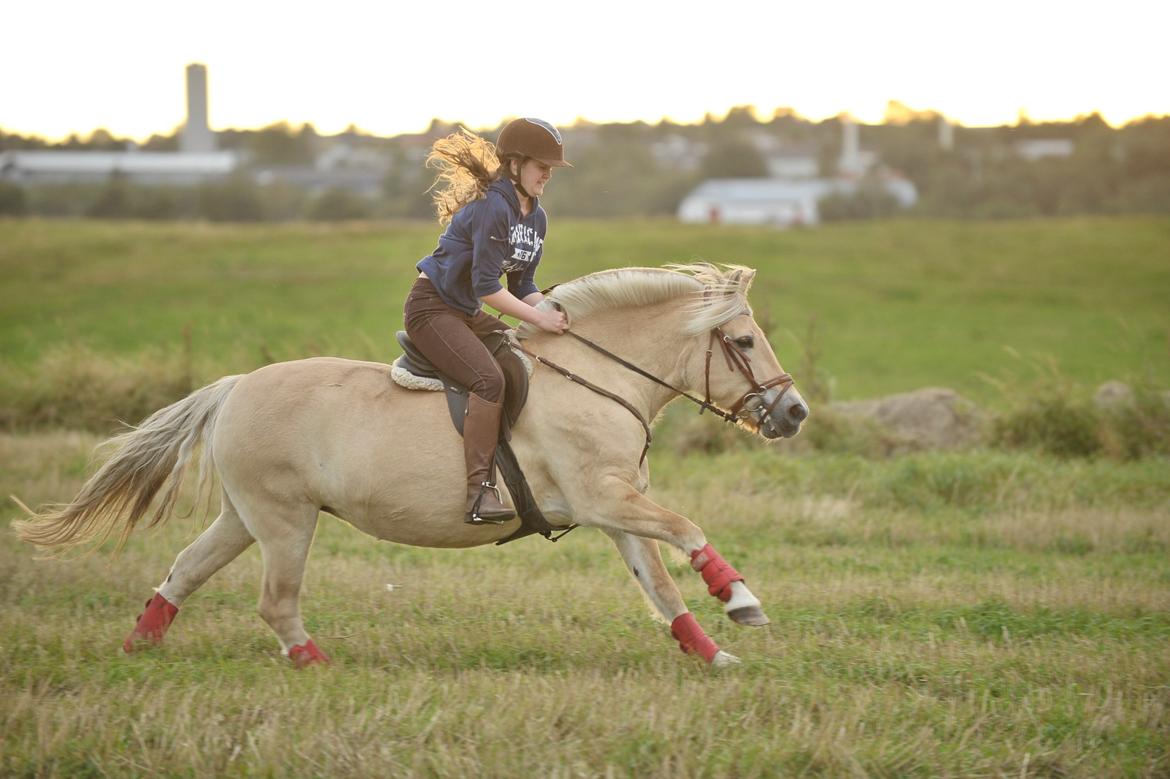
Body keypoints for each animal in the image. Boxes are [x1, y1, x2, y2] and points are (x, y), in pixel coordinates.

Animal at [18, 264, 809, 664]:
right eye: (743, 340)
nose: (795, 413)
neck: (593, 377)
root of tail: (235, 387)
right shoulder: (601, 499)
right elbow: (688, 529)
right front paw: (741, 601)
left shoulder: (616, 511)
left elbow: (662, 586)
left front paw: (714, 653)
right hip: (284, 518)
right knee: (275, 599)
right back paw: (315, 664)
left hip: (245, 514)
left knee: (185, 568)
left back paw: (139, 644)